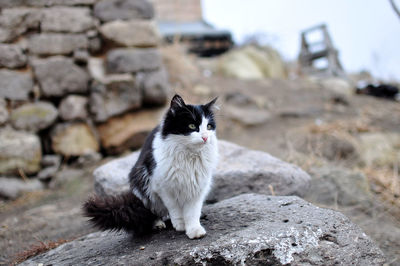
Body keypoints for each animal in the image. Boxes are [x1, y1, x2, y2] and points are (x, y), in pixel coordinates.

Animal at [82, 94, 219, 239]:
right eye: (192, 126)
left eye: (209, 126)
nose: (205, 137)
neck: (189, 156)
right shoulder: (162, 187)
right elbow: (174, 208)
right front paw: (180, 225)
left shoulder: (197, 188)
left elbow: (192, 212)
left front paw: (194, 230)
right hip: (141, 182)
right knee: (152, 211)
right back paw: (158, 224)